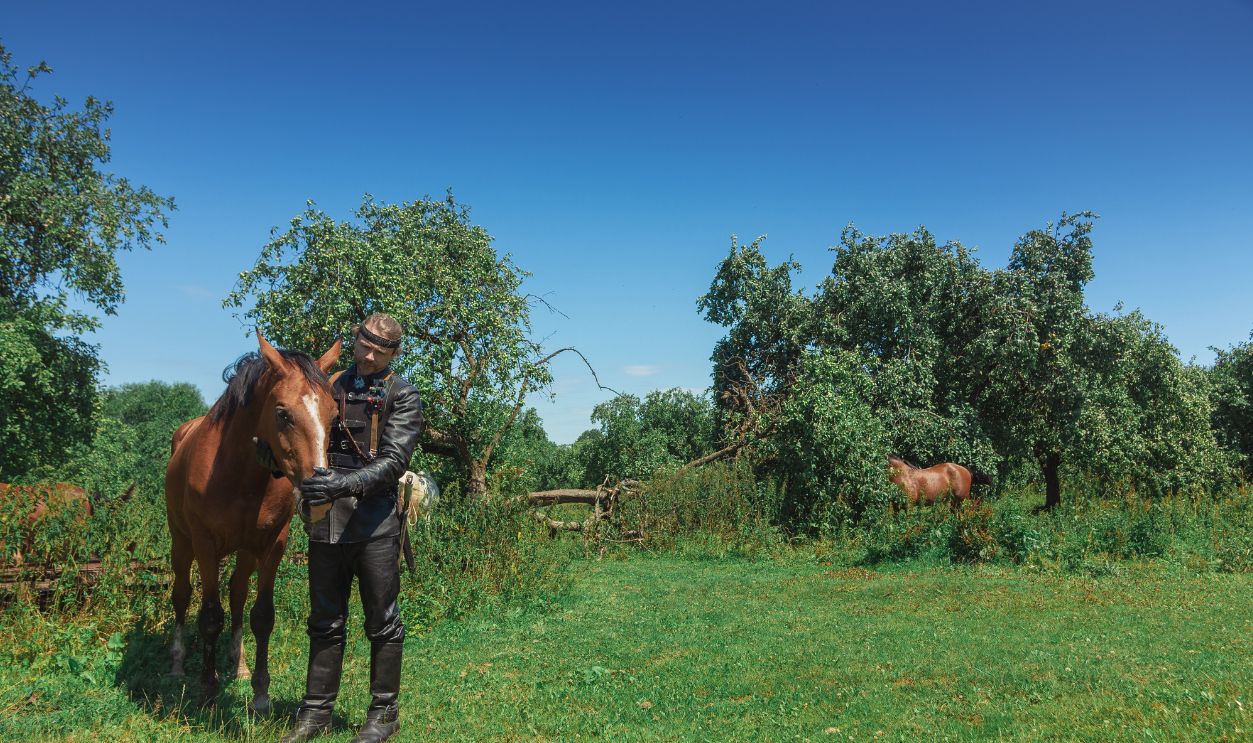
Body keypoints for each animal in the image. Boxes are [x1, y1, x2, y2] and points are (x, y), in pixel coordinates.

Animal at [165, 332, 341, 712]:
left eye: (334, 414)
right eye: (283, 413)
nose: (319, 498)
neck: (238, 473)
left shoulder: (272, 545)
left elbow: (261, 615)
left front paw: (261, 691)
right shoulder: (205, 545)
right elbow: (210, 616)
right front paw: (208, 688)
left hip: (245, 552)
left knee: (237, 594)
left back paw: (239, 664)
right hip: (181, 543)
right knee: (182, 595)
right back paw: (177, 664)